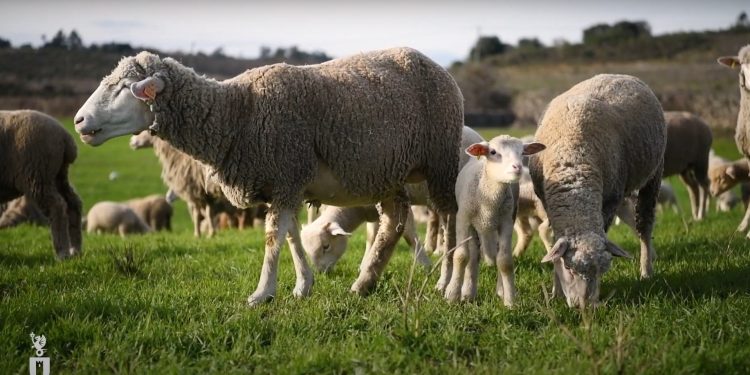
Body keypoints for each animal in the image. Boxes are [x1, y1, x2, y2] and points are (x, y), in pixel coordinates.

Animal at [0, 110, 82, 260]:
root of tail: (65, 137)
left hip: (37, 175)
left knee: (57, 206)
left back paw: (62, 253)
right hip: (57, 175)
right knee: (73, 203)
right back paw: (75, 249)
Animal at [300, 206, 428, 274]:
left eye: (326, 246)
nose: (320, 272)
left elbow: (410, 234)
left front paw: (425, 265)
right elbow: (372, 237)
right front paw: (366, 264)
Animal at [528, 73, 668, 308]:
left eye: (603, 270)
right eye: (569, 267)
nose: (585, 307)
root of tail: (619, 74)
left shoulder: (609, 203)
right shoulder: (547, 200)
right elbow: (555, 244)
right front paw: (556, 292)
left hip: (653, 174)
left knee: (644, 225)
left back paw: (646, 270)